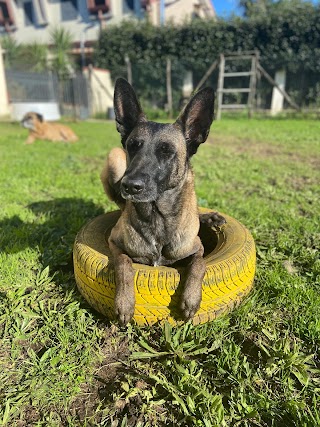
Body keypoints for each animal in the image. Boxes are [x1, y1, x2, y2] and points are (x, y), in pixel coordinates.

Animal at [100, 78, 225, 324]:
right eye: (132, 145)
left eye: (167, 151)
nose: (129, 186)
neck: (157, 216)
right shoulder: (114, 243)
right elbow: (123, 264)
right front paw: (124, 302)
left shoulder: (197, 249)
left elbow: (199, 264)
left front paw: (191, 298)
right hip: (113, 157)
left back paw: (209, 217)